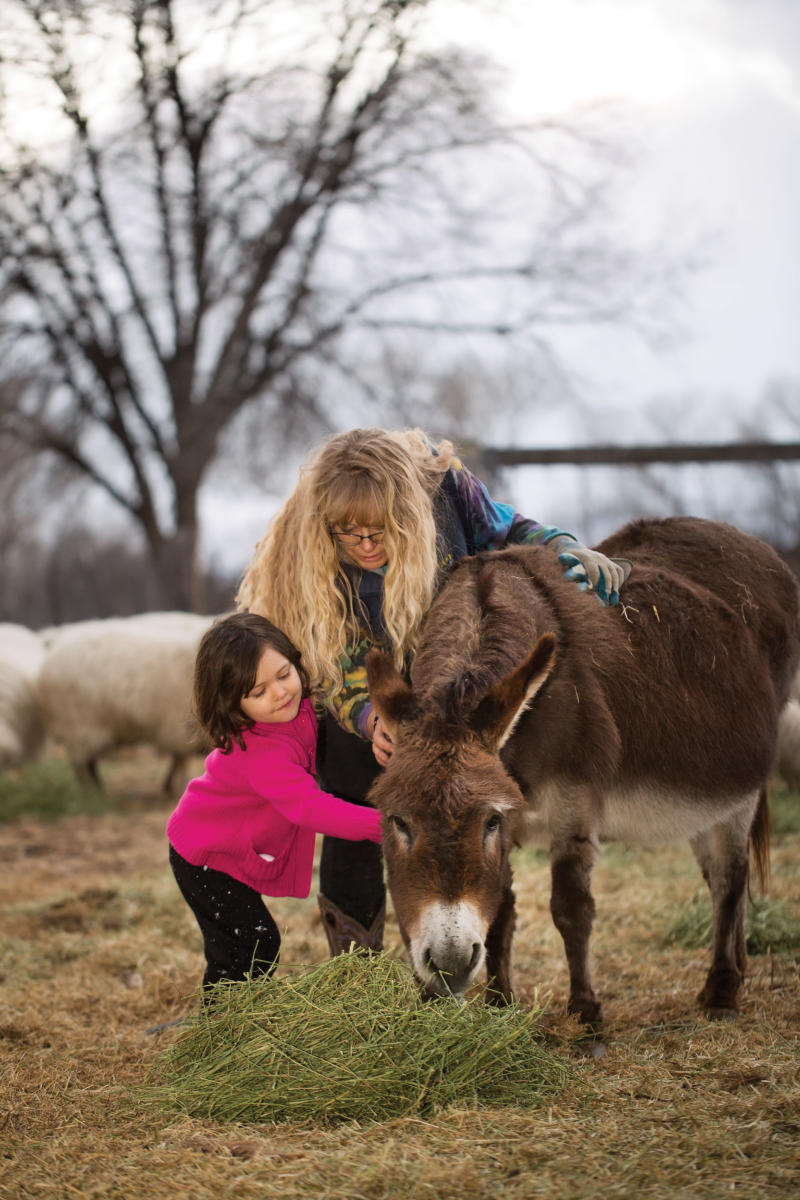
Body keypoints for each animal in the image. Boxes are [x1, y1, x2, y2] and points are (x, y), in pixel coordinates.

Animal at [35, 609, 214, 796]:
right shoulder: (177, 729)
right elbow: (179, 760)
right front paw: (174, 786)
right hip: (78, 727)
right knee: (81, 764)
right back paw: (91, 790)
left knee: (88, 762)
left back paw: (98, 787)